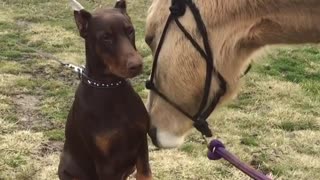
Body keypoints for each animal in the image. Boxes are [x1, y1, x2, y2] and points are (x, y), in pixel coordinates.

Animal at [58, 0, 152, 179]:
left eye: (130, 30)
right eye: (106, 37)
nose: (137, 65)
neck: (110, 88)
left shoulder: (142, 142)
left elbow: (145, 173)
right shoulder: (105, 162)